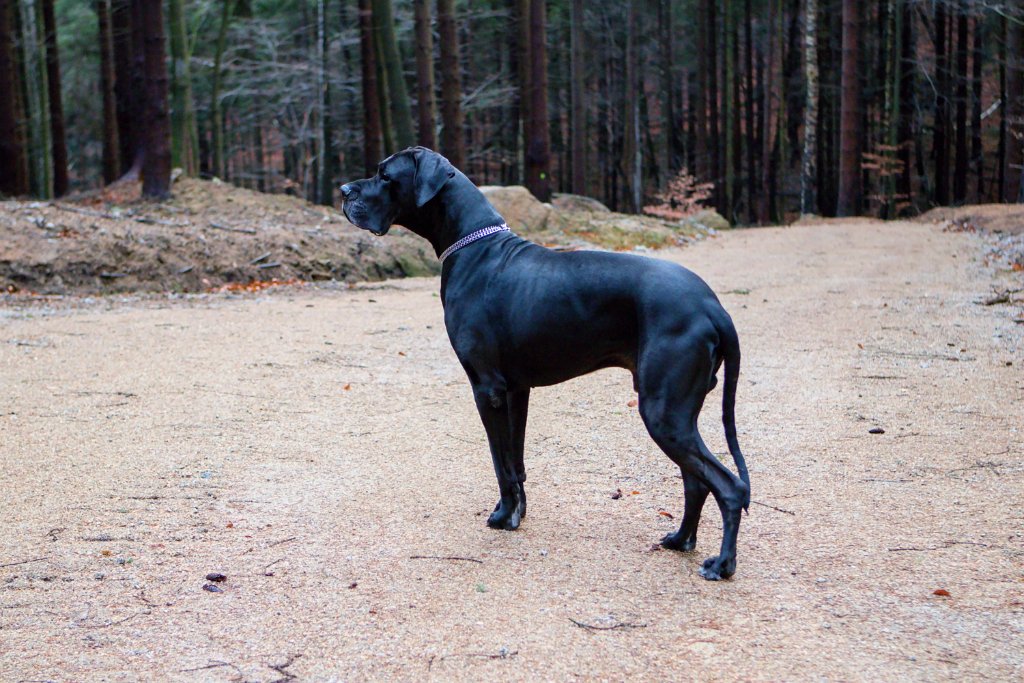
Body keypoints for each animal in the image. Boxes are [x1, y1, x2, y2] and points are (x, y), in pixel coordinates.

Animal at [339, 147, 749, 581]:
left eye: (385, 175)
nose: (344, 190)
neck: (475, 246)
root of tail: (713, 306)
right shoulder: (517, 390)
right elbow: (515, 460)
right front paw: (517, 511)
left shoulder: (487, 388)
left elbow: (499, 461)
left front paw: (503, 516)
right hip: (678, 413)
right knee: (696, 481)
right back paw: (680, 539)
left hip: (662, 411)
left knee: (729, 486)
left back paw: (722, 564)